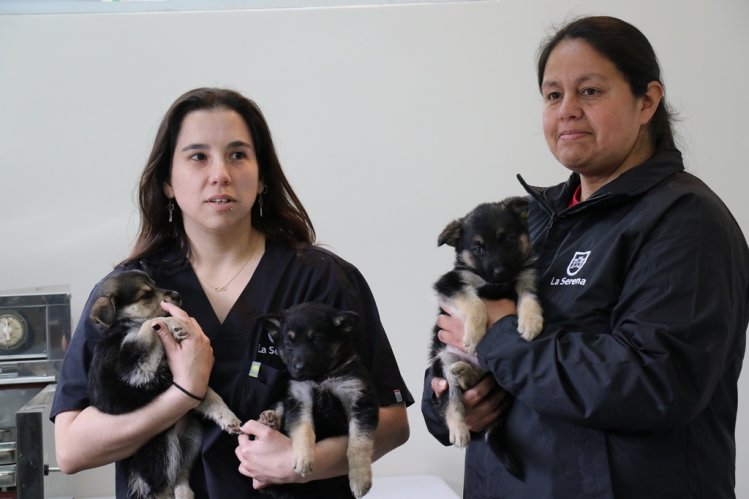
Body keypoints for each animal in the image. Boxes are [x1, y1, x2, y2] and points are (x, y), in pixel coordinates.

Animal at [88, 270, 241, 499]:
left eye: (155, 284)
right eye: (145, 294)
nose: (177, 294)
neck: (123, 324)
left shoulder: (176, 377)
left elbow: (211, 395)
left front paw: (228, 418)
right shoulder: (134, 368)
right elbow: (152, 323)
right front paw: (175, 323)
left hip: (193, 436)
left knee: (179, 474)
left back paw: (185, 492)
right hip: (162, 441)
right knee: (161, 486)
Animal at [426, 197, 544, 482]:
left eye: (507, 240)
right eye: (478, 249)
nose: (500, 272)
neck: (498, 284)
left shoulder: (526, 277)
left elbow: (529, 297)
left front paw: (531, 322)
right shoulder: (451, 283)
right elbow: (473, 300)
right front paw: (474, 333)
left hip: (497, 377)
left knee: (482, 376)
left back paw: (467, 373)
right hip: (443, 360)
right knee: (453, 400)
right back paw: (459, 424)